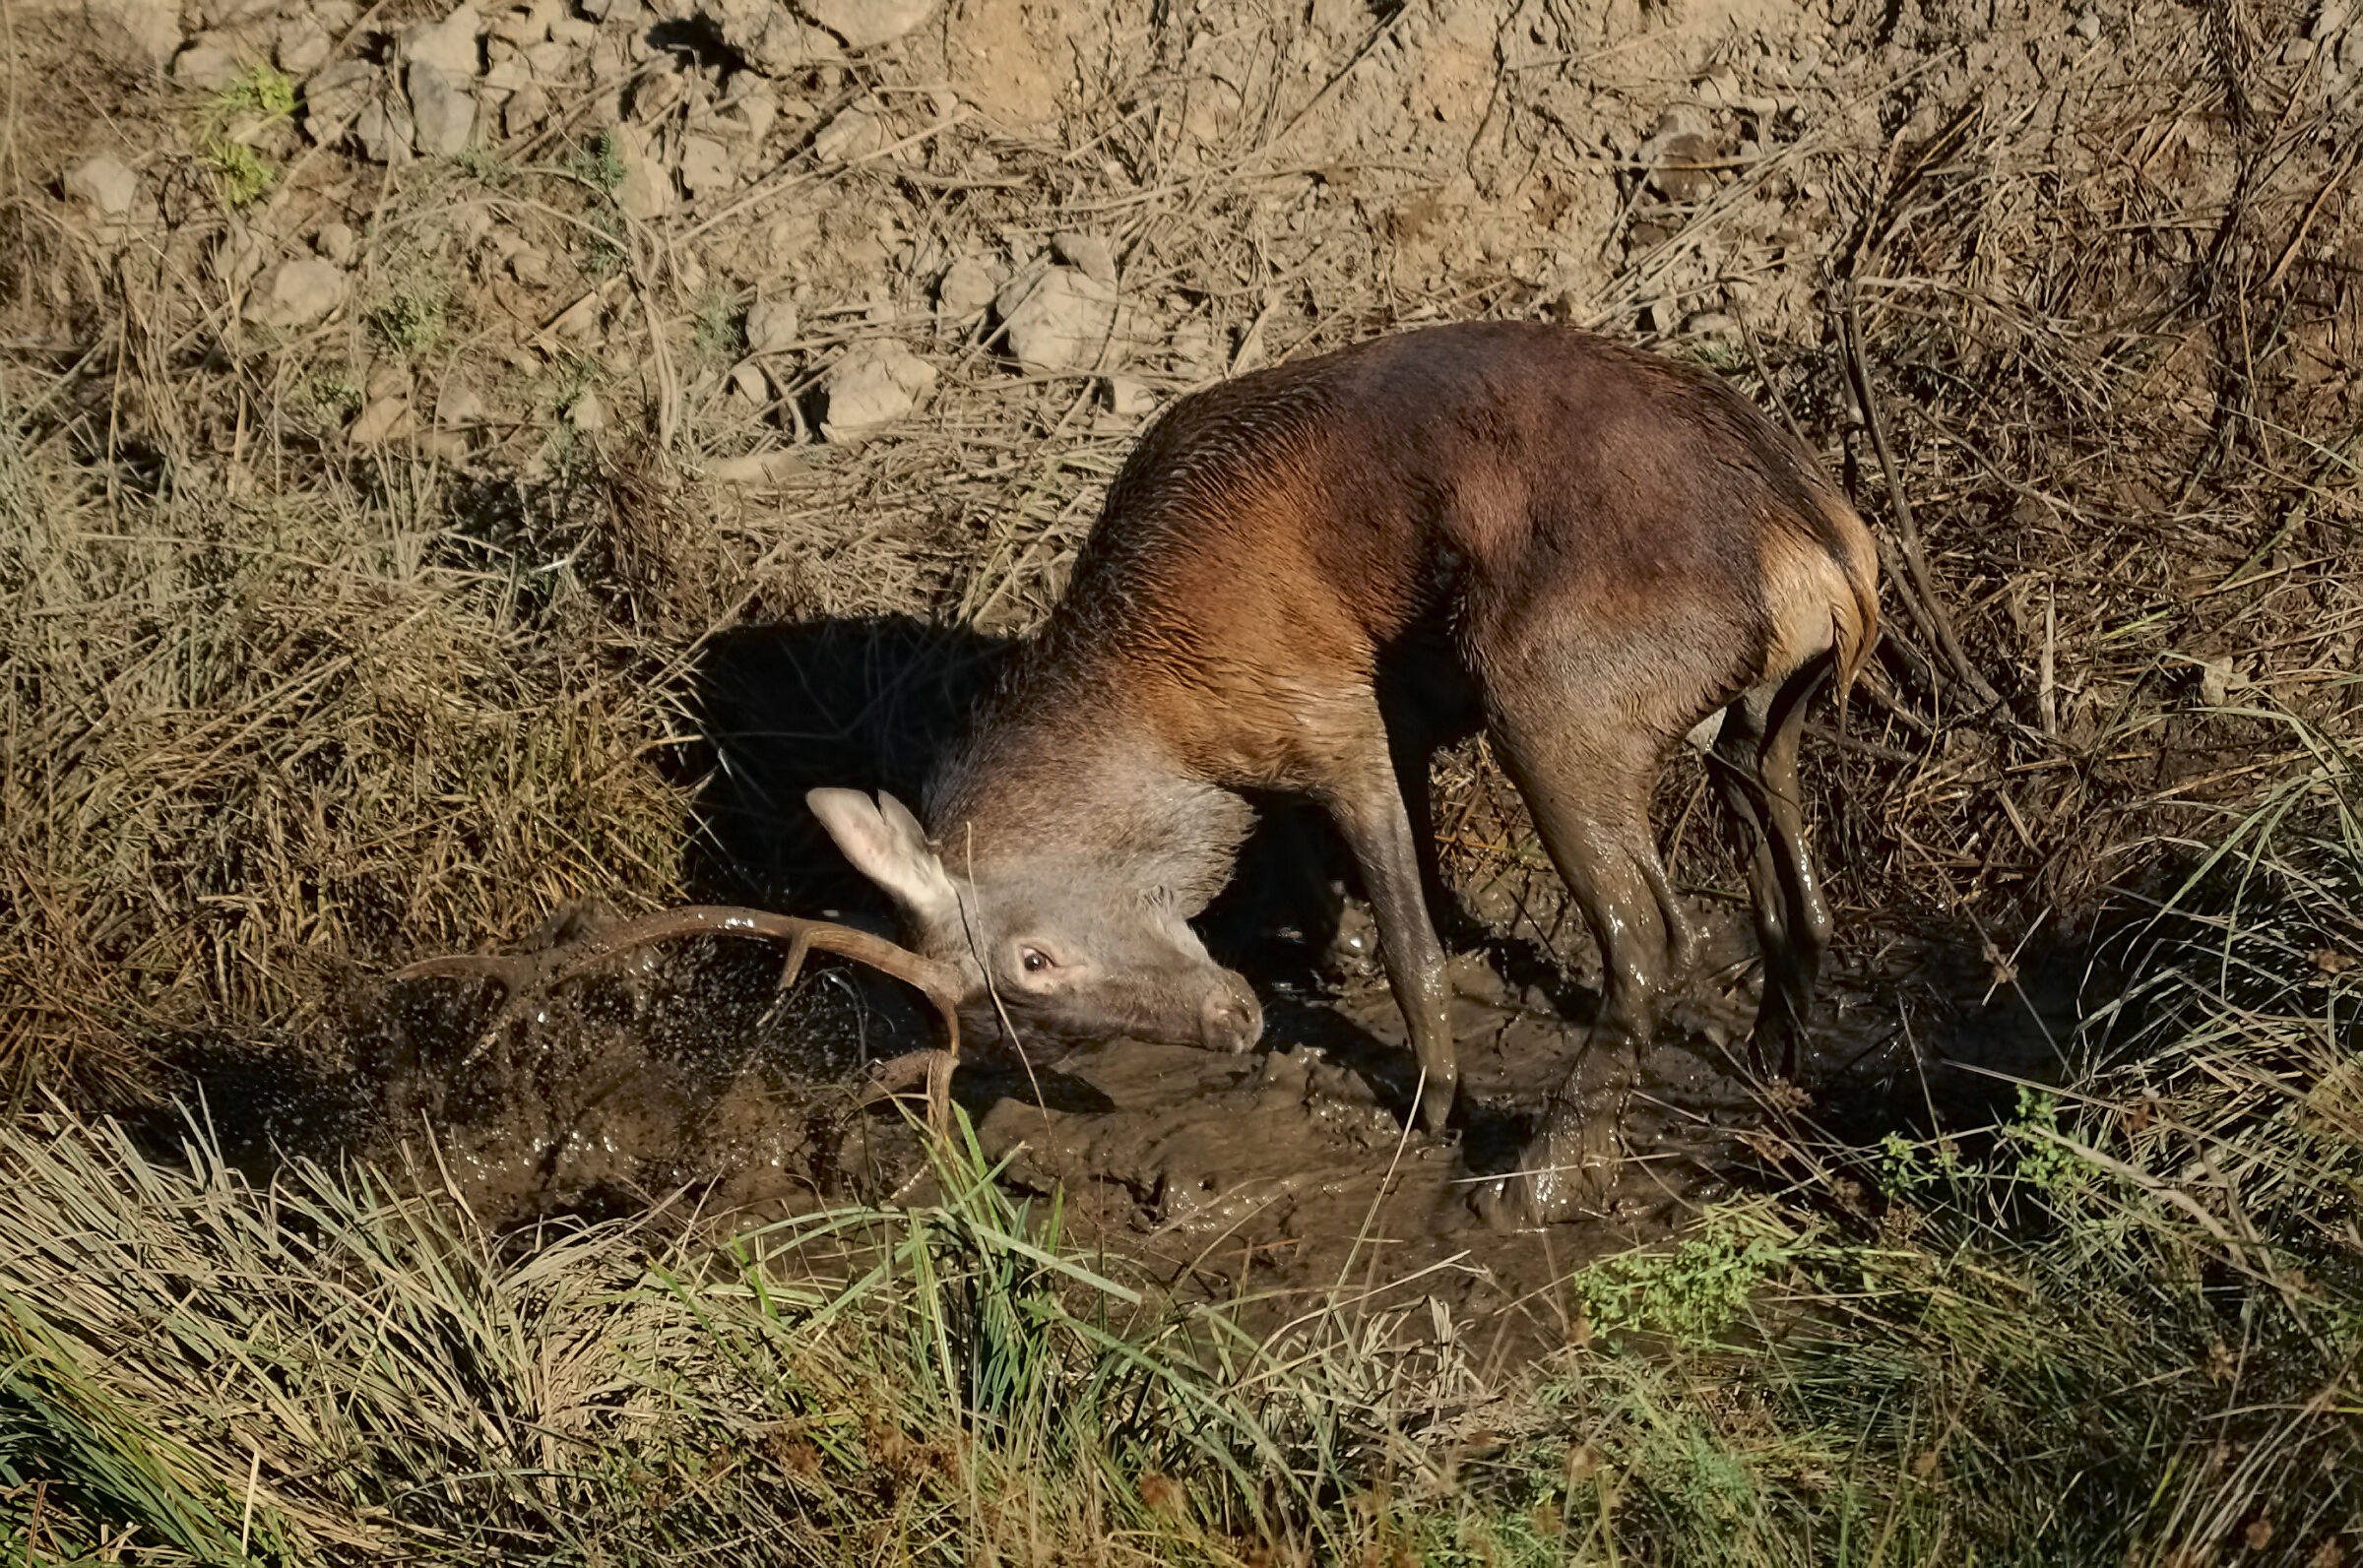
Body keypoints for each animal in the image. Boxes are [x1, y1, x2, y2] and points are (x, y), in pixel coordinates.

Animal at [802, 319, 1879, 1227]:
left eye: (1031, 961)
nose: (1235, 1020)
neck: (1164, 709)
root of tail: (1827, 549)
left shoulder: (1338, 713)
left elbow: (1413, 942)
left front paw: (1431, 1101)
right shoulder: (1380, 713)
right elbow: (1334, 872)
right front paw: (1338, 950)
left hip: (1556, 696)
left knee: (1655, 933)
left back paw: (1540, 1175)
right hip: (1758, 713)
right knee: (1799, 889)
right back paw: (1774, 1055)